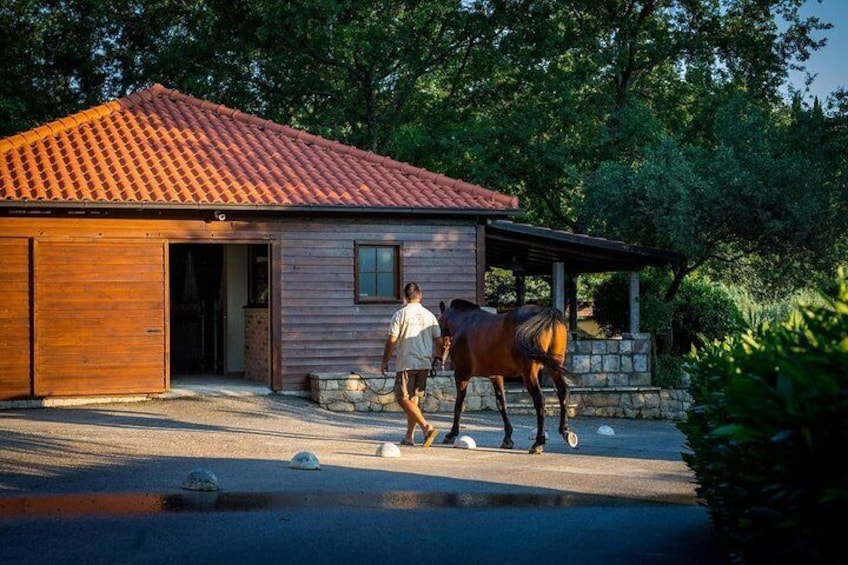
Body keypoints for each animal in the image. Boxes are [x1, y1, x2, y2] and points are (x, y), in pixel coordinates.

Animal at [438, 300, 576, 454]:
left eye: (439, 320)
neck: (465, 322)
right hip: (554, 367)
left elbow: (459, 404)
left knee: (540, 400)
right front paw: (507, 439)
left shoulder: (461, 375)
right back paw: (565, 431)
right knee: (563, 392)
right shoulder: (496, 376)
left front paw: (451, 434)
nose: (441, 356)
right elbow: (501, 404)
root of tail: (548, 313)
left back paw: (538, 442)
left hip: (529, 372)